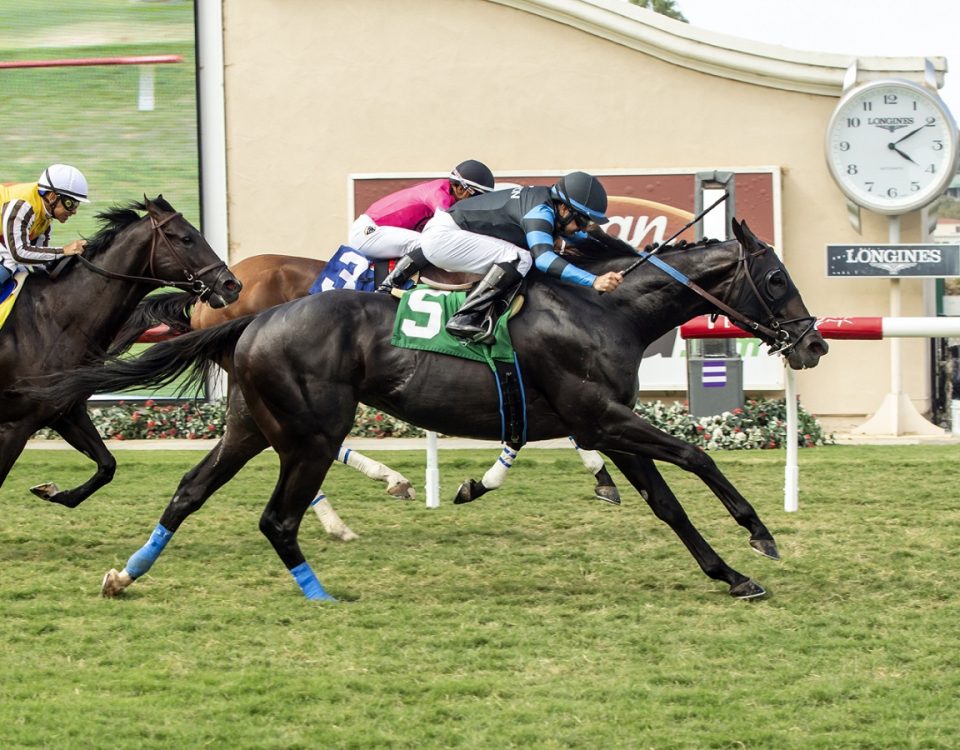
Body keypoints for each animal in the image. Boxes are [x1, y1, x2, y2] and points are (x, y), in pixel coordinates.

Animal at [0, 197, 240, 508]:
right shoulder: (14, 425)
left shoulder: (65, 411)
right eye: (186, 238)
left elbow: (107, 465)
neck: (53, 319)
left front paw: (53, 491)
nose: (231, 285)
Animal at [33, 217, 828, 600]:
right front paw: (759, 534)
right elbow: (695, 457)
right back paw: (322, 591)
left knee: (189, 491)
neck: (606, 310)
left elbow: (666, 503)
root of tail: (251, 317)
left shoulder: (604, 425)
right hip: (310, 431)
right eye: (777, 279)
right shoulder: (600, 416)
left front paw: (732, 576)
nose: (815, 342)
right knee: (278, 517)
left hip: (251, 425)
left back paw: (126, 574)